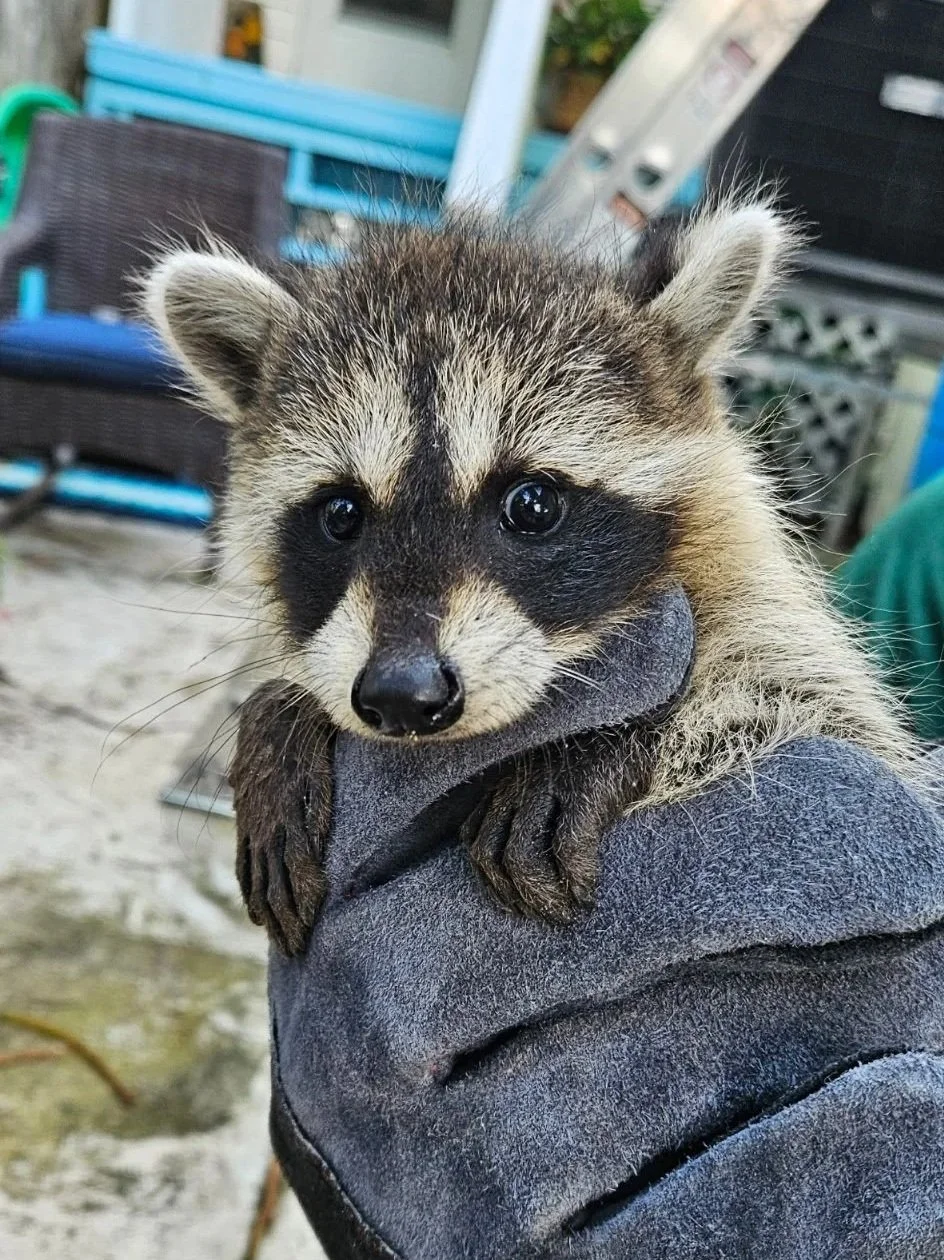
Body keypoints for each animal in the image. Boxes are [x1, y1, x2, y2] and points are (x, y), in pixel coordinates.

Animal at [145, 199, 916, 955]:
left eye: (533, 504)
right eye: (341, 513)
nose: (400, 693)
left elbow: (801, 694)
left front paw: (612, 736)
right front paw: (282, 712)